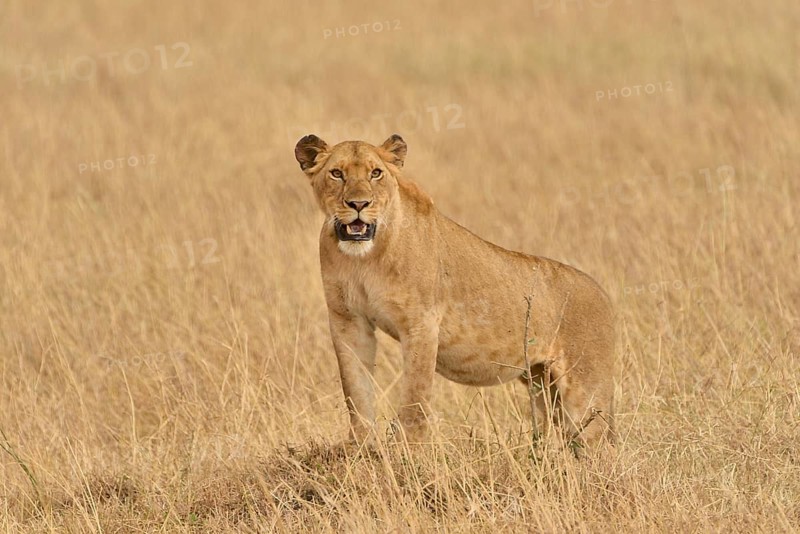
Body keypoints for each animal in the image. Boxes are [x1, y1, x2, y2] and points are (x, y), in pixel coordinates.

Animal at [294, 134, 615, 447]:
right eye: (337, 173)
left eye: (376, 173)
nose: (358, 204)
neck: (364, 259)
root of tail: (603, 294)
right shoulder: (348, 321)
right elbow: (356, 390)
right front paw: (361, 448)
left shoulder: (421, 324)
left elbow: (415, 397)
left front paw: (409, 454)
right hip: (540, 383)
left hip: (586, 391)